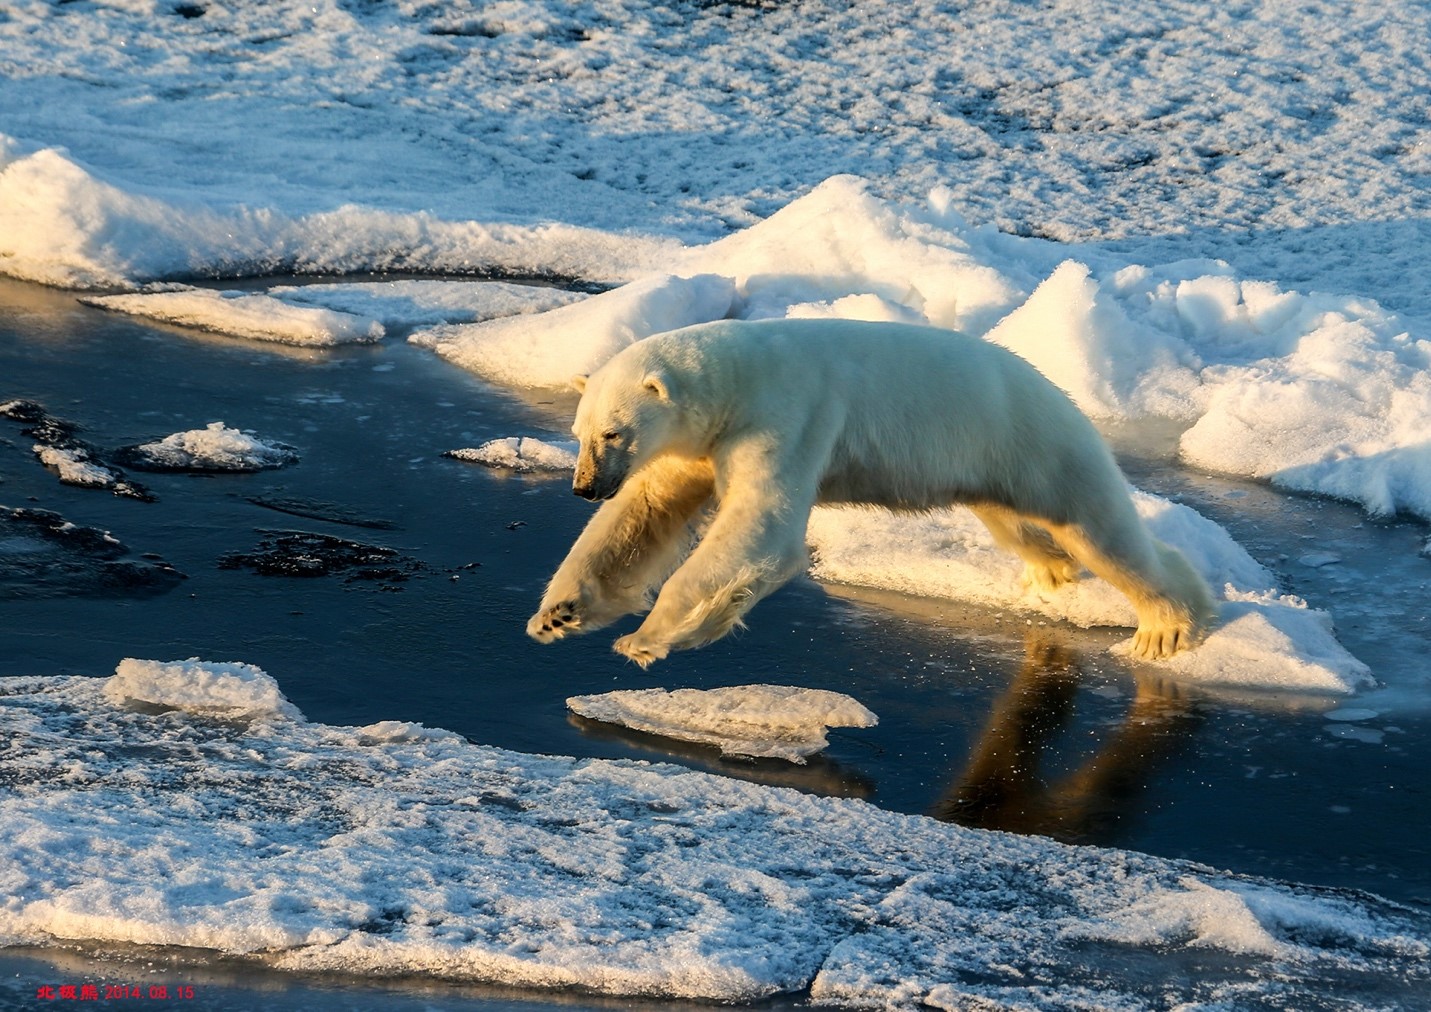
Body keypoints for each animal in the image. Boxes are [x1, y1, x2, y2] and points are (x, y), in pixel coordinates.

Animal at [532, 319, 1213, 664]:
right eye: (580, 432)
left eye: (614, 431)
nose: (585, 487)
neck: (739, 378)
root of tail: (1059, 390)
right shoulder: (696, 445)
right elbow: (643, 515)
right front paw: (557, 614)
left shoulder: (788, 415)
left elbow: (761, 525)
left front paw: (642, 639)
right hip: (994, 461)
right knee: (1020, 523)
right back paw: (1051, 571)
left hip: (1038, 443)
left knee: (1098, 528)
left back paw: (1164, 629)